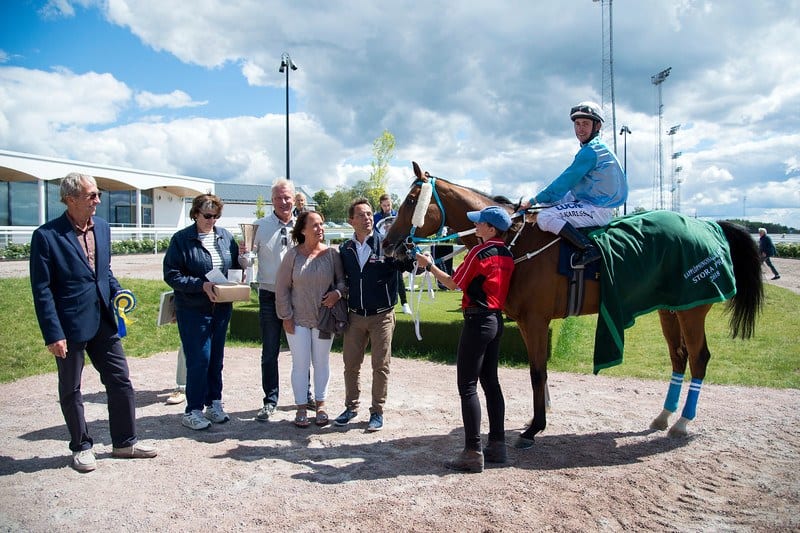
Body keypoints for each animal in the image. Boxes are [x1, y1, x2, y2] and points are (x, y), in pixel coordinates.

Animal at [384, 161, 764, 444]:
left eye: (410, 200)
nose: (389, 245)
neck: (516, 240)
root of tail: (709, 226)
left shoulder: (536, 320)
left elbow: (537, 371)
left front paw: (535, 427)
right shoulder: (526, 322)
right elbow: (539, 370)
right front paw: (538, 417)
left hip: (692, 308)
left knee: (699, 358)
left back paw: (683, 422)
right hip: (670, 309)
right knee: (679, 357)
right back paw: (663, 416)